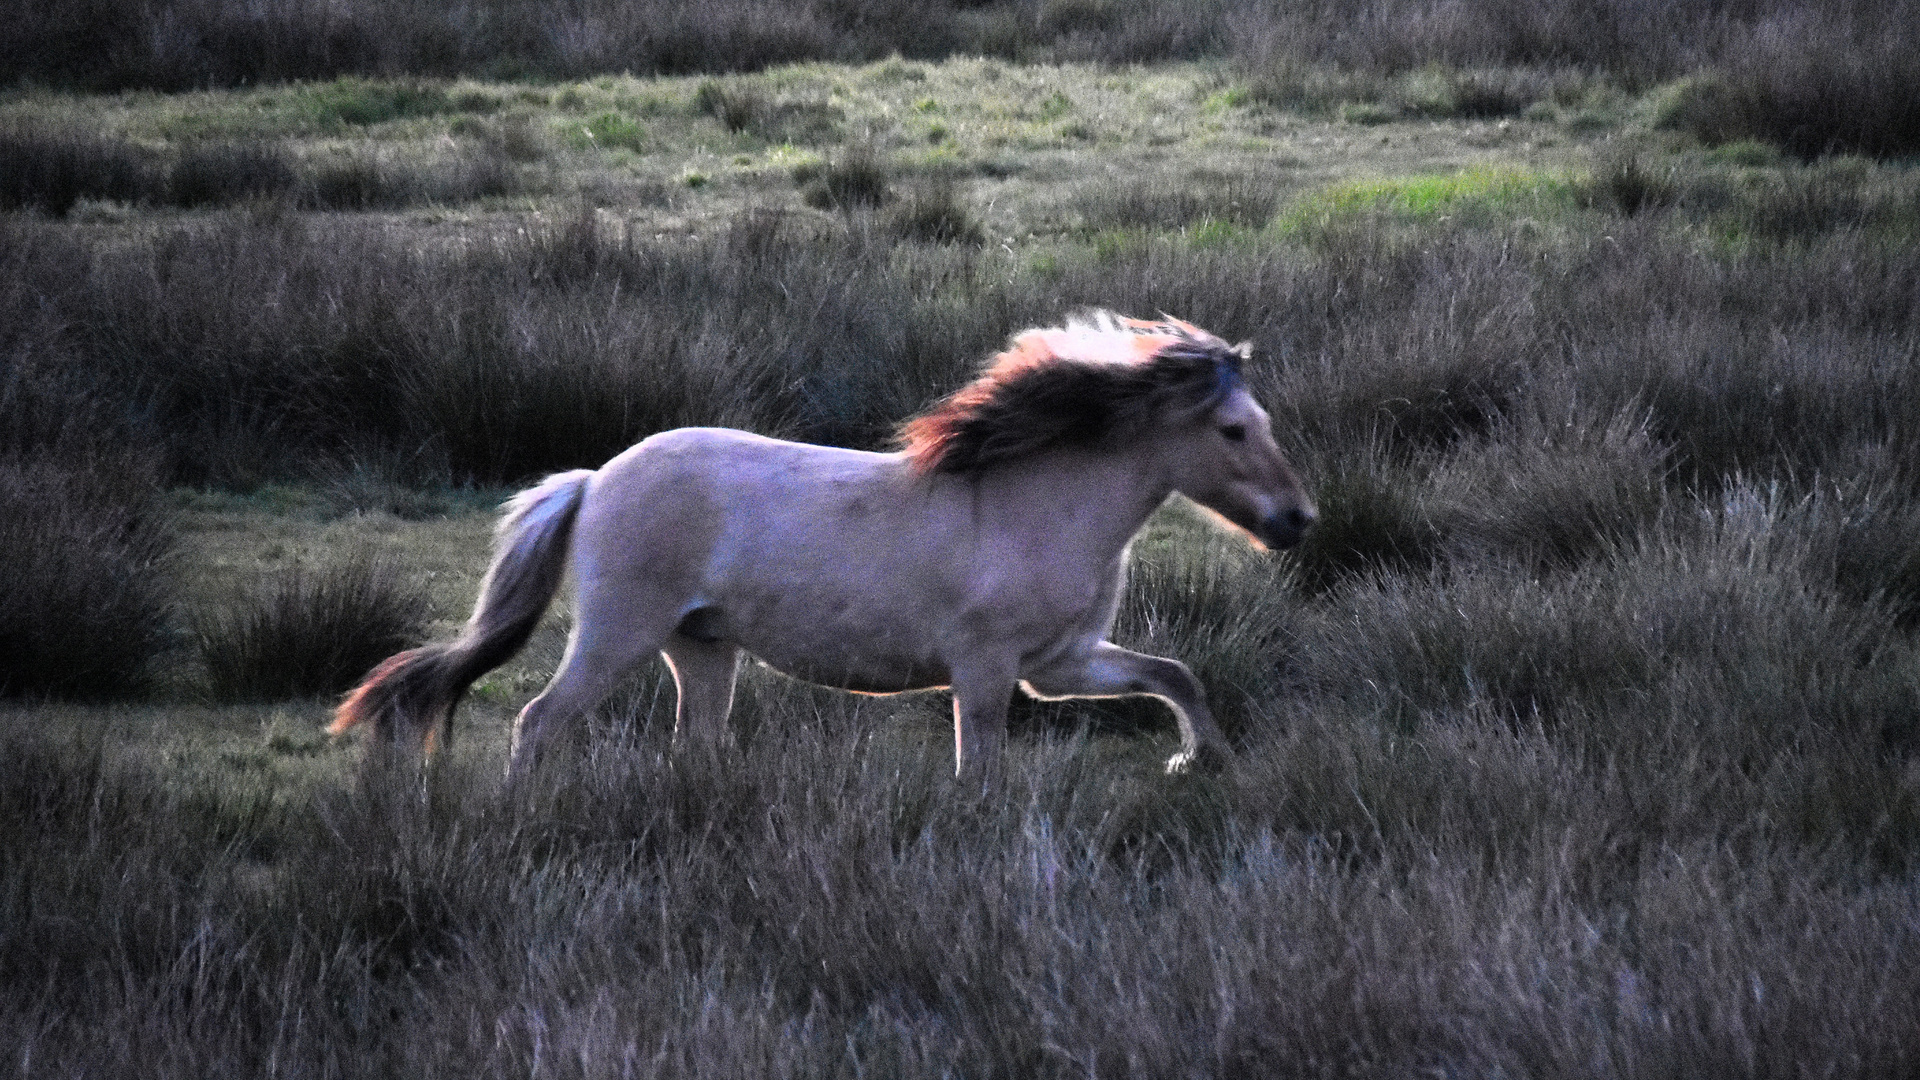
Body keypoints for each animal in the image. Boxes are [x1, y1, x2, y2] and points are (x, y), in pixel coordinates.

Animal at [334, 311, 1320, 780]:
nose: (1298, 521)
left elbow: (1175, 676)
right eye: (1234, 430)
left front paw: (1199, 759)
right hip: (618, 636)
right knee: (538, 723)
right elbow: (981, 770)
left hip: (703, 650)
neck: (1036, 509)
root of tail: (594, 480)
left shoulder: (1062, 663)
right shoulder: (987, 669)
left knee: (692, 745)